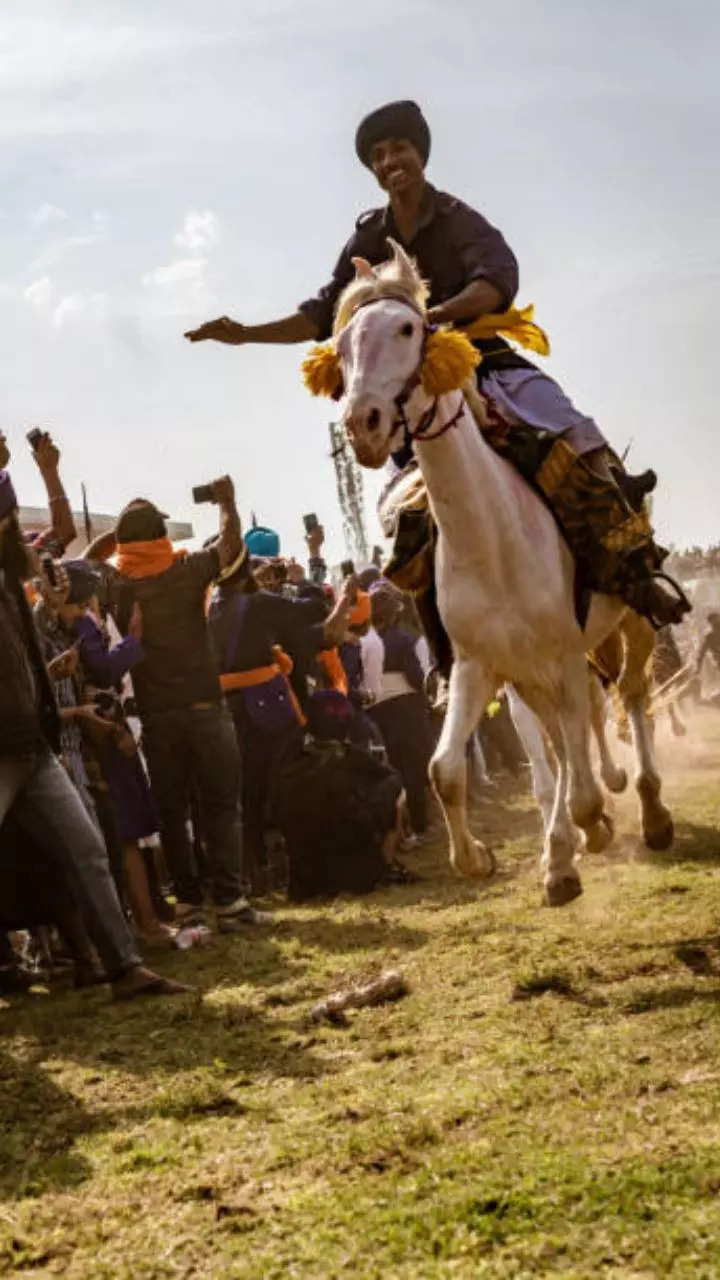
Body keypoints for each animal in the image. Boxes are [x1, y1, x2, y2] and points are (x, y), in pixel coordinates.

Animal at [304, 240, 671, 901]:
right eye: (341, 345)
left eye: (407, 328)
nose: (363, 425)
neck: (492, 539)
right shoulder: (482, 665)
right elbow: (445, 770)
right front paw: (489, 859)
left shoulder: (560, 655)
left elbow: (576, 775)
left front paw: (586, 831)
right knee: (565, 737)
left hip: (631, 622)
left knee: (629, 698)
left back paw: (650, 812)